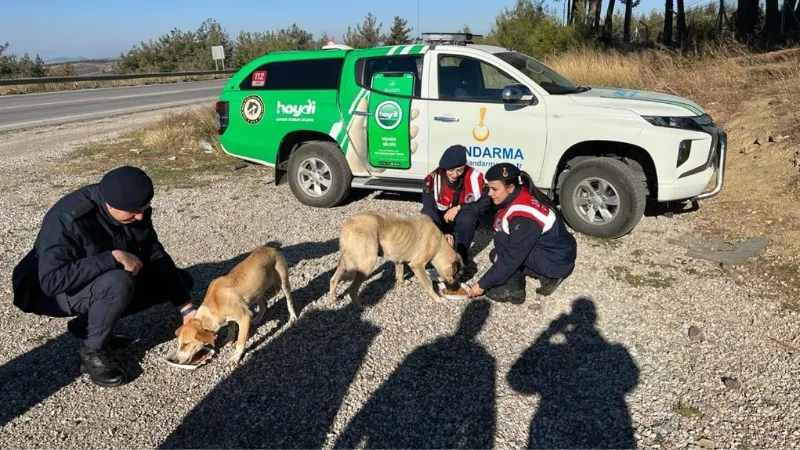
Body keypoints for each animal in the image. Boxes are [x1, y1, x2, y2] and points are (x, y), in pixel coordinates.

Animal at [326, 210, 462, 306]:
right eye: (456, 276)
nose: (456, 288)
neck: (439, 244)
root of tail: (348, 223)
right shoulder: (417, 265)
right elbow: (428, 283)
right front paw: (437, 298)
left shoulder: (399, 259)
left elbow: (400, 273)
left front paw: (402, 282)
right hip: (368, 262)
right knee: (352, 289)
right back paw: (359, 306)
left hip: (346, 262)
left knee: (334, 279)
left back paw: (332, 298)